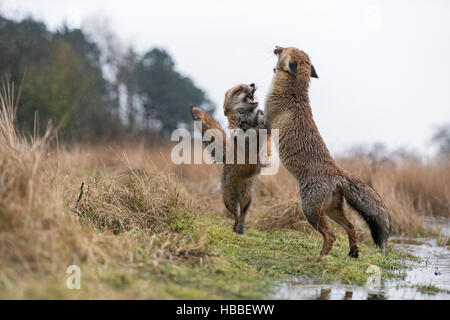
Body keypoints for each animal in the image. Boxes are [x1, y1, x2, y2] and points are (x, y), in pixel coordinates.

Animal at [191, 84, 268, 234]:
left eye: (247, 85)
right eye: (239, 89)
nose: (252, 84)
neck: (248, 120)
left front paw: (261, 116)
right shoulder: (243, 138)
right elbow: (253, 132)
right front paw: (258, 125)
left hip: (247, 198)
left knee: (242, 214)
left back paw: (240, 229)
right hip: (228, 200)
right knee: (236, 215)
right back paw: (236, 228)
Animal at [266, 47, 392, 258]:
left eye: (283, 50)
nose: (275, 46)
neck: (292, 93)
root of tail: (337, 171)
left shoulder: (266, 123)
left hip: (310, 211)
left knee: (331, 235)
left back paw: (320, 258)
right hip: (332, 211)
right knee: (351, 227)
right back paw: (353, 253)